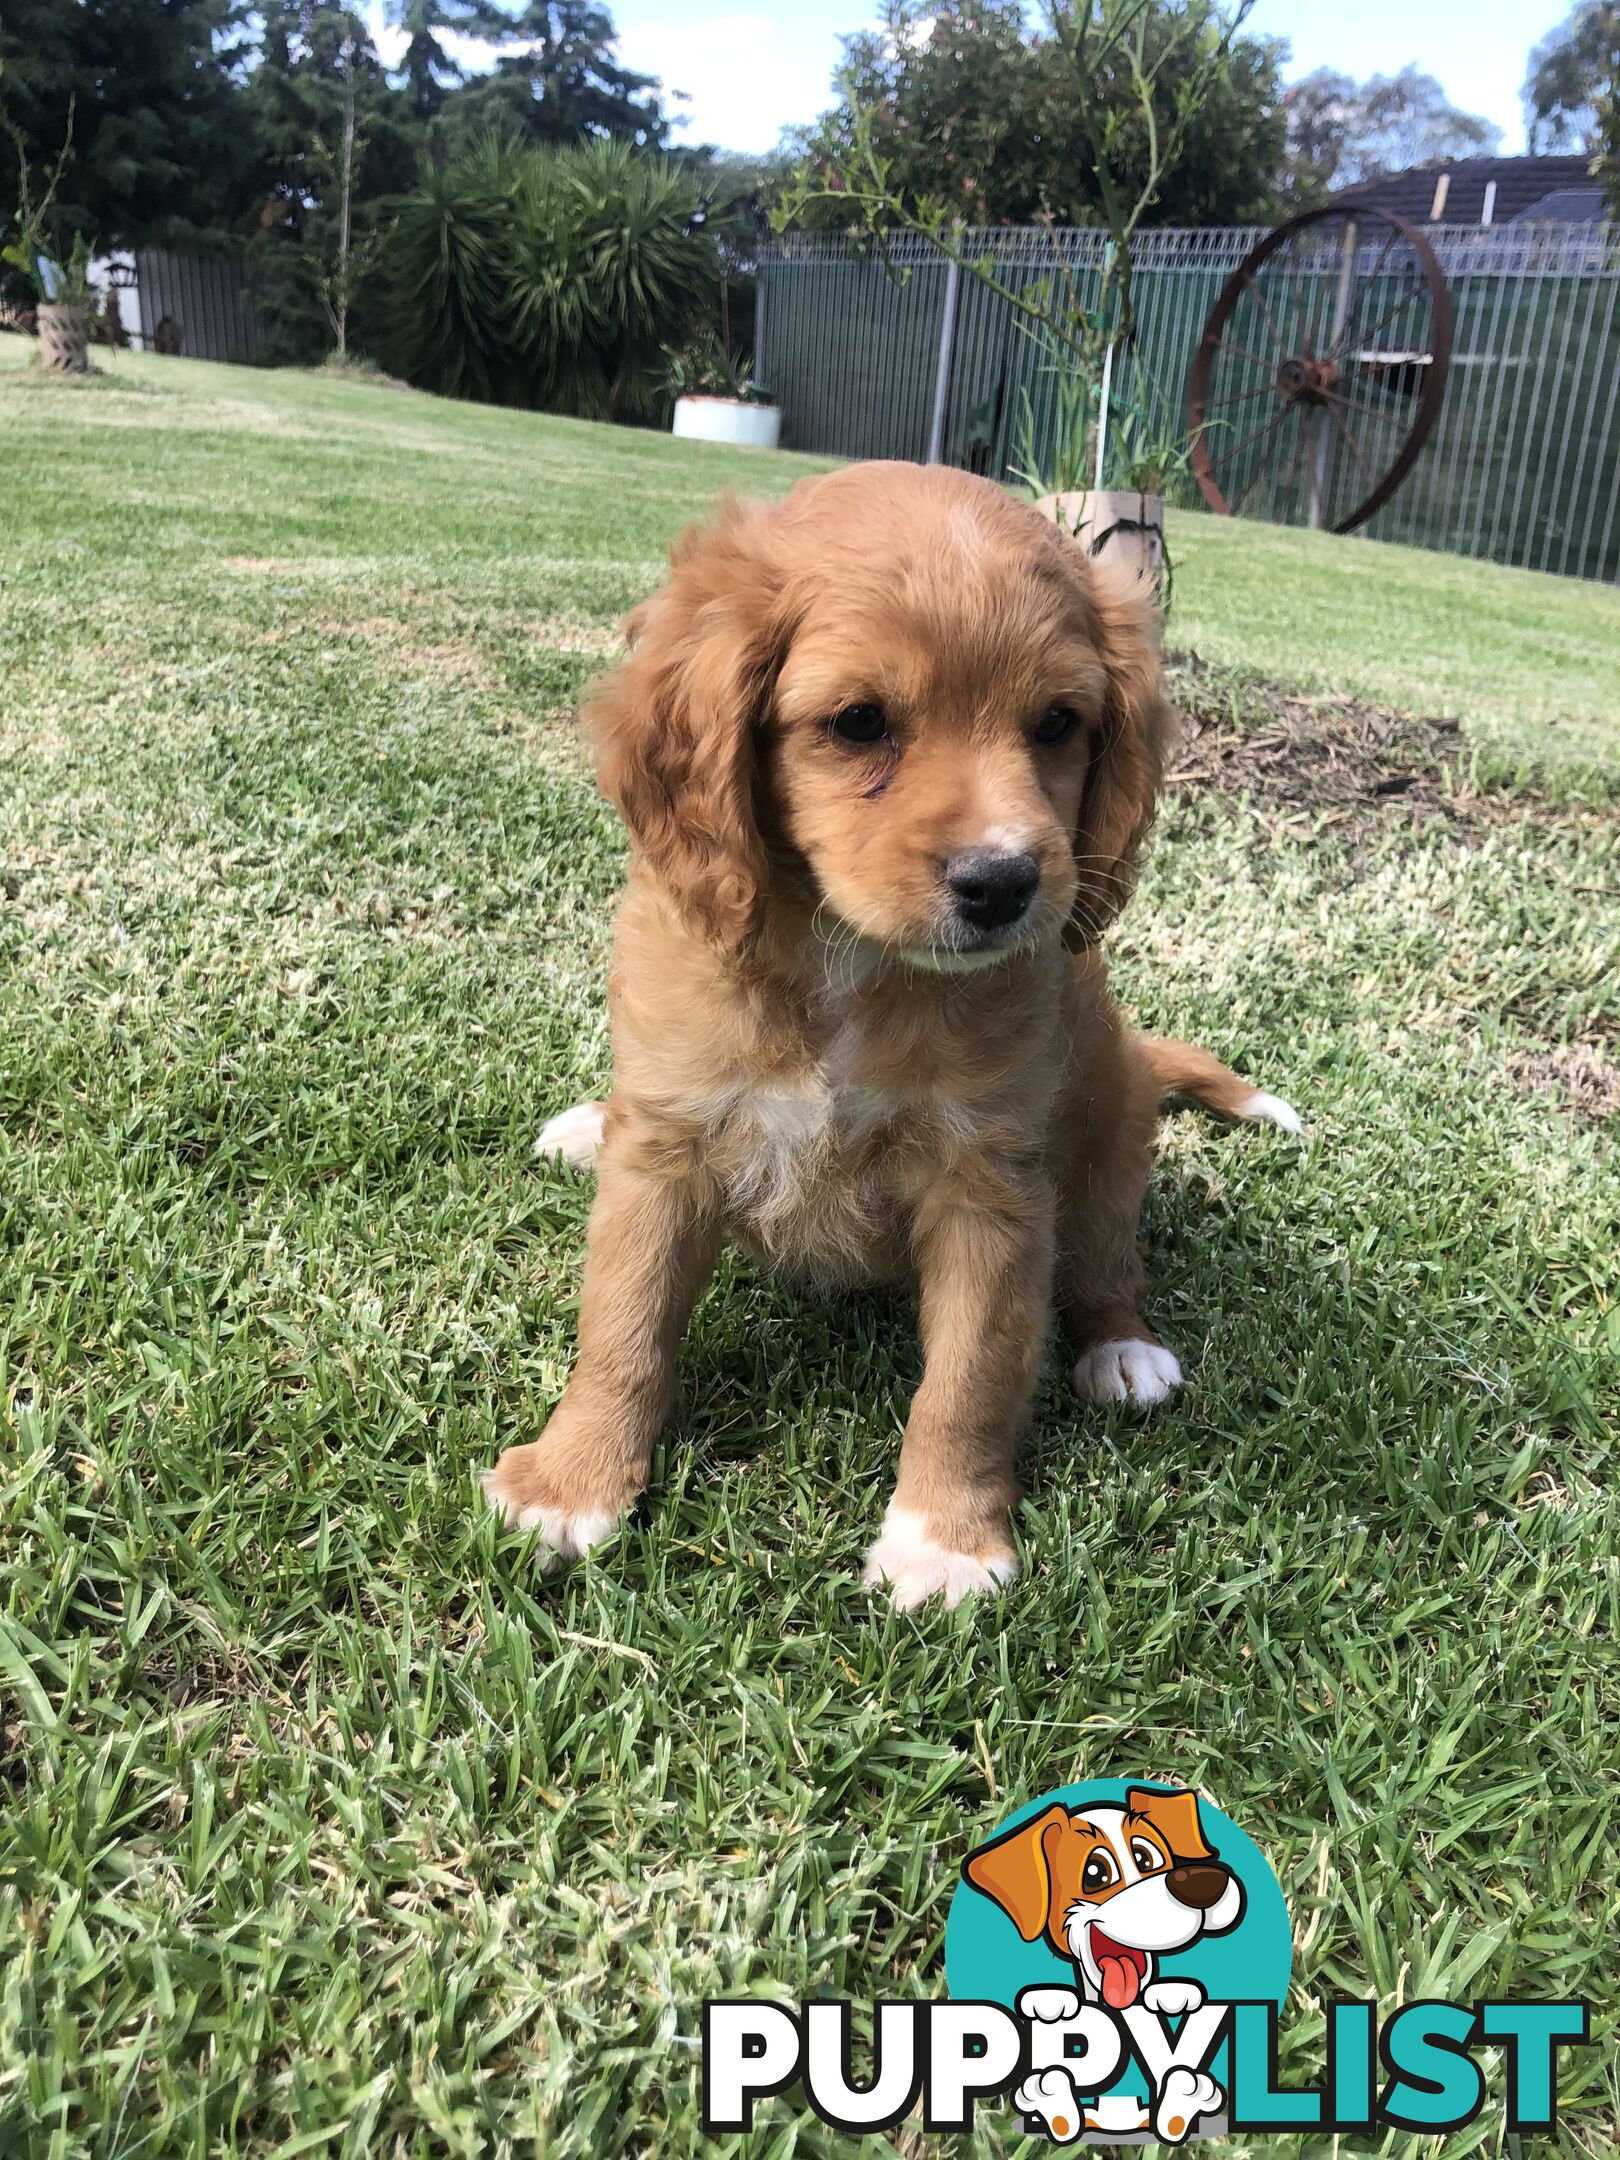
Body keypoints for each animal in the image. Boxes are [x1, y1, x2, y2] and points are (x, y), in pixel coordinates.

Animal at [488, 460, 1304, 1607]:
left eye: (1059, 723)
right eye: (860, 722)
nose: (1004, 884)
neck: (850, 968)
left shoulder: (991, 1190)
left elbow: (971, 1375)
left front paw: (944, 1540)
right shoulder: (666, 1154)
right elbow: (624, 1325)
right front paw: (573, 1480)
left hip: (1107, 1128)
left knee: (1108, 1260)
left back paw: (1123, 1351)